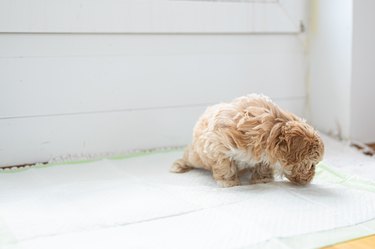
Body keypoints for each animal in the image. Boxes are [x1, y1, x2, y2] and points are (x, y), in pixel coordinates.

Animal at [172, 94, 324, 187]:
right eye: (311, 164)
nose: (310, 179)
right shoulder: (218, 144)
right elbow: (224, 164)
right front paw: (229, 182)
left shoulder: (263, 156)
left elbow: (262, 165)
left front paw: (263, 179)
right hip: (196, 156)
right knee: (189, 156)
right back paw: (178, 165)